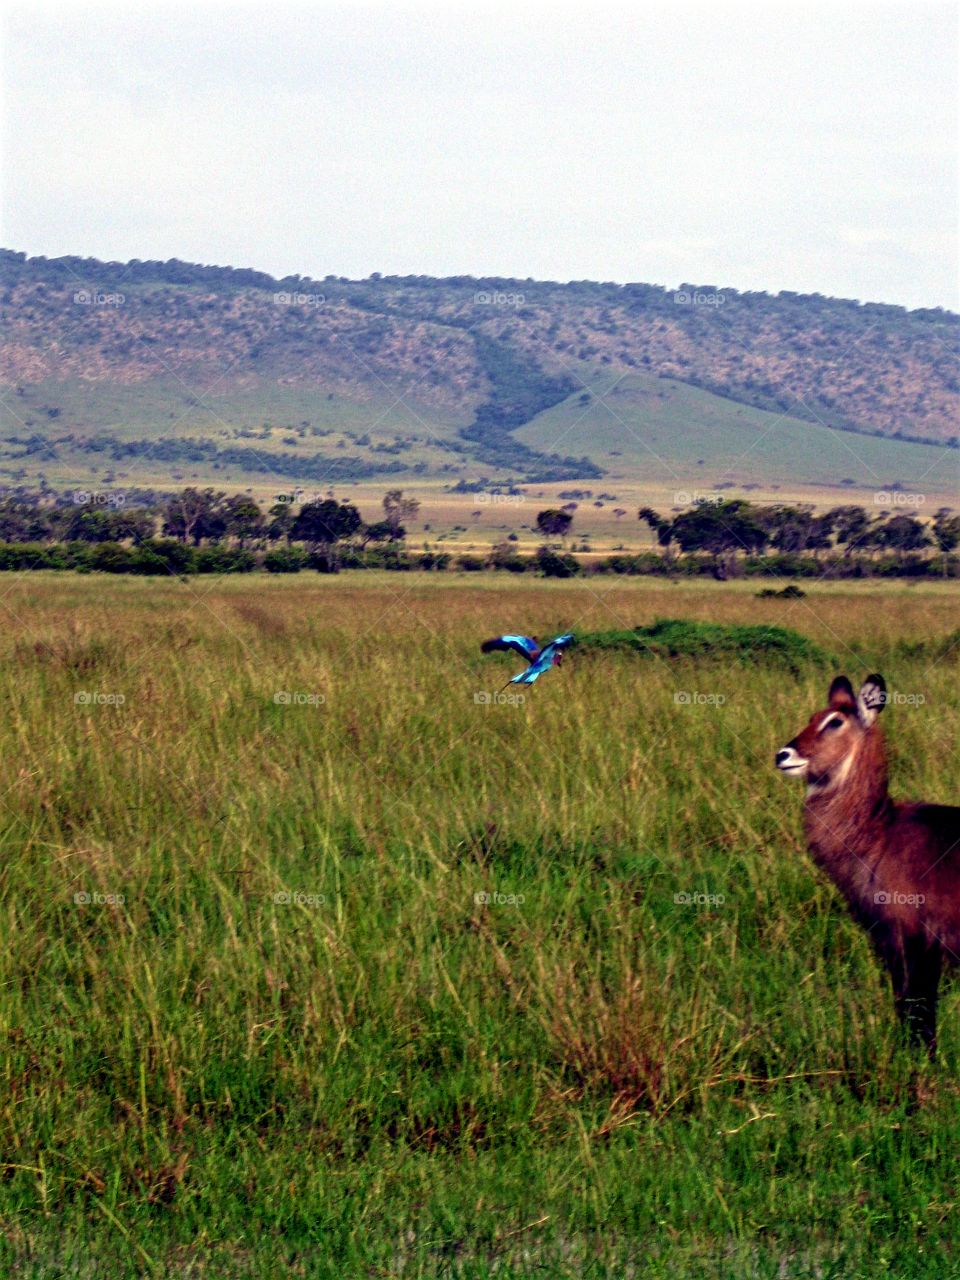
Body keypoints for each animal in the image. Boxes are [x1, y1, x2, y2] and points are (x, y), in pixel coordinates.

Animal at [778, 675, 957, 1054]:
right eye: (813, 716)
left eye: (834, 722)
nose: (783, 755)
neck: (880, 832)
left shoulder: (910, 941)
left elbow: (916, 1009)